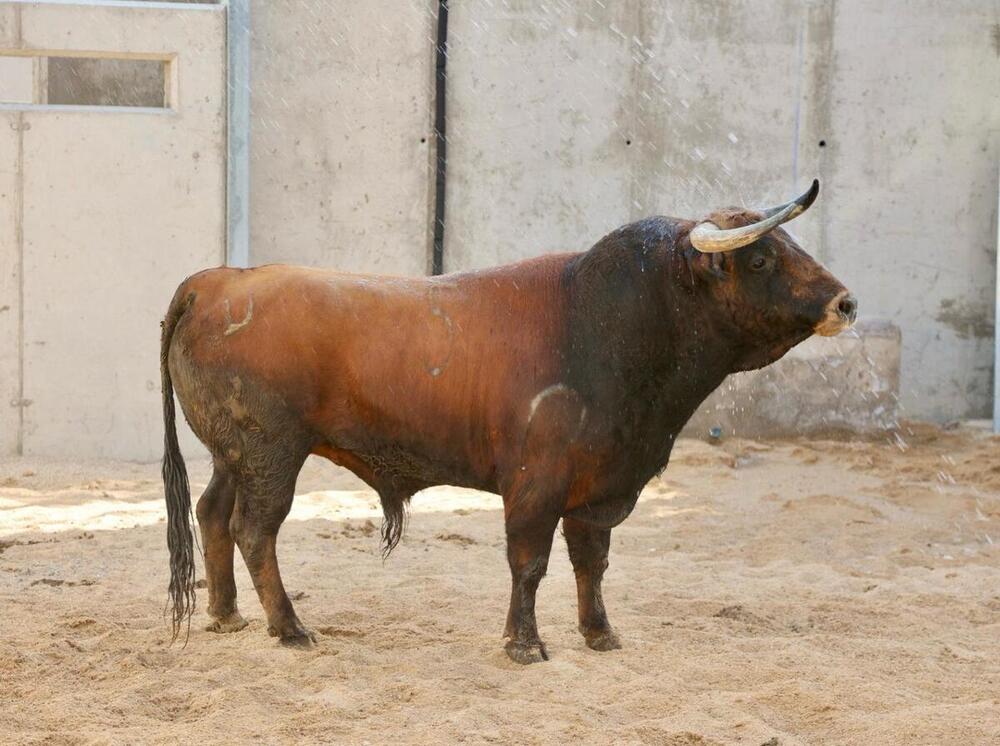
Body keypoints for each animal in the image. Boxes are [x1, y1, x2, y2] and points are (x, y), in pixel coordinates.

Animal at [160, 180, 856, 664]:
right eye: (761, 259)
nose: (845, 303)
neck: (607, 323)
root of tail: (215, 283)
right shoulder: (535, 484)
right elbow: (530, 562)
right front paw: (524, 644)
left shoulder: (598, 488)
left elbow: (591, 563)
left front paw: (600, 633)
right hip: (273, 452)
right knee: (255, 530)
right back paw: (289, 628)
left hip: (235, 455)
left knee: (213, 513)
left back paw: (226, 615)